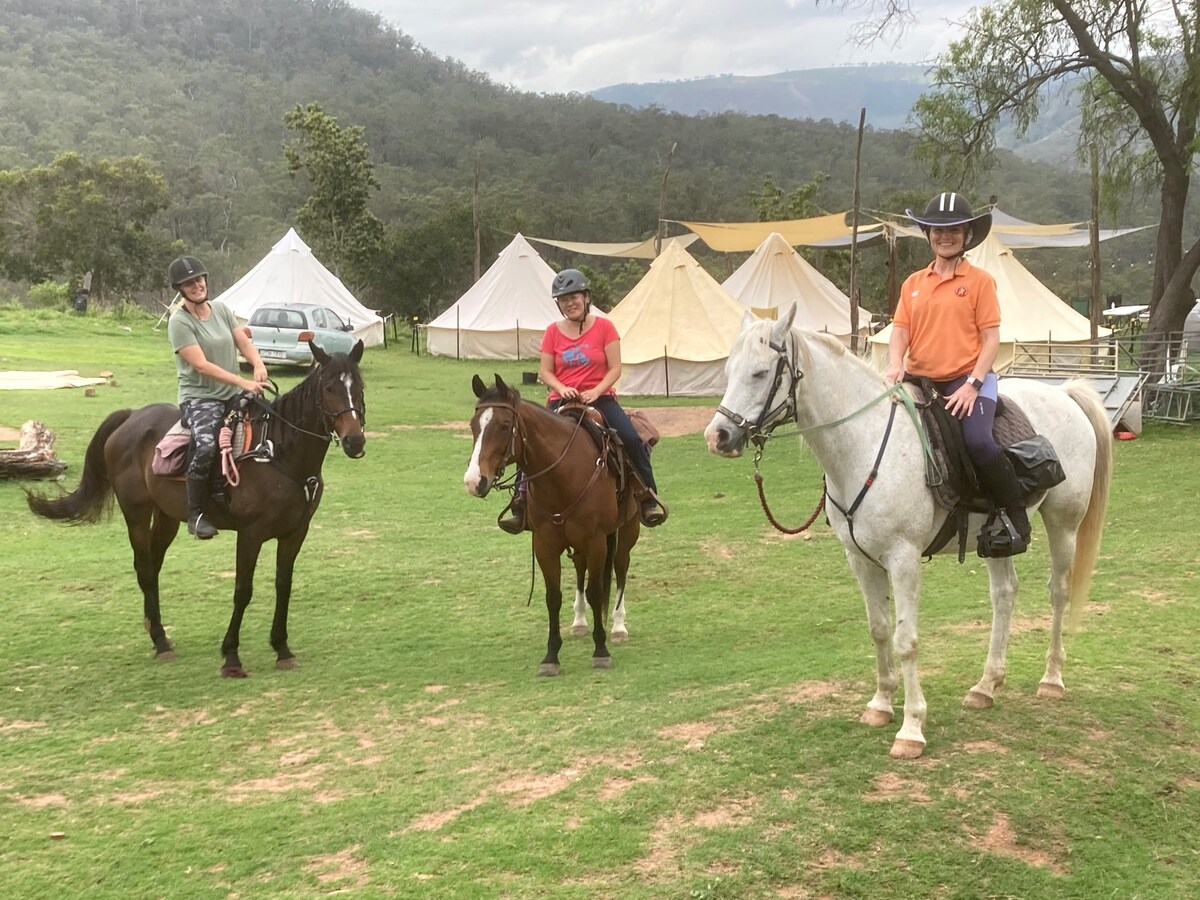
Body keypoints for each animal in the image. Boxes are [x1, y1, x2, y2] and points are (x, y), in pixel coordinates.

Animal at [27, 343, 364, 676]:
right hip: (136, 514)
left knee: (153, 565)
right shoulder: (251, 534)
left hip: (166, 517)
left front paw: (282, 649)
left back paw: (158, 633)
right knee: (144, 568)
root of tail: (131, 417)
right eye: (330, 388)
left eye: (359, 386)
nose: (355, 441)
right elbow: (243, 590)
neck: (277, 454)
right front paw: (231, 656)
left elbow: (284, 585)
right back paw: (160, 642)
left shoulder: (295, 532)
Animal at [463, 374, 643, 676]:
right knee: (581, 569)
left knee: (620, 567)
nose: (474, 481)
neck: (563, 475)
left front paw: (601, 651)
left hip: (627, 529)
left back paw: (618, 626)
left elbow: (597, 592)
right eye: (473, 425)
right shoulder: (545, 545)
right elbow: (553, 597)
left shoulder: (596, 541)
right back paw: (579, 622)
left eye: (504, 425)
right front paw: (551, 656)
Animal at [700, 304, 1113, 763]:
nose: (718, 436)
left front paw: (911, 728)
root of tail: (1065, 394)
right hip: (996, 540)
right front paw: (881, 705)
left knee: (1058, 593)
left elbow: (906, 640)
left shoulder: (903, 559)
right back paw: (986, 686)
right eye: (729, 371)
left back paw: (1052, 679)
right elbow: (880, 630)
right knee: (1004, 596)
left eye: (759, 373)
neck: (862, 445)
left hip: (1064, 523)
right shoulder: (860, 560)